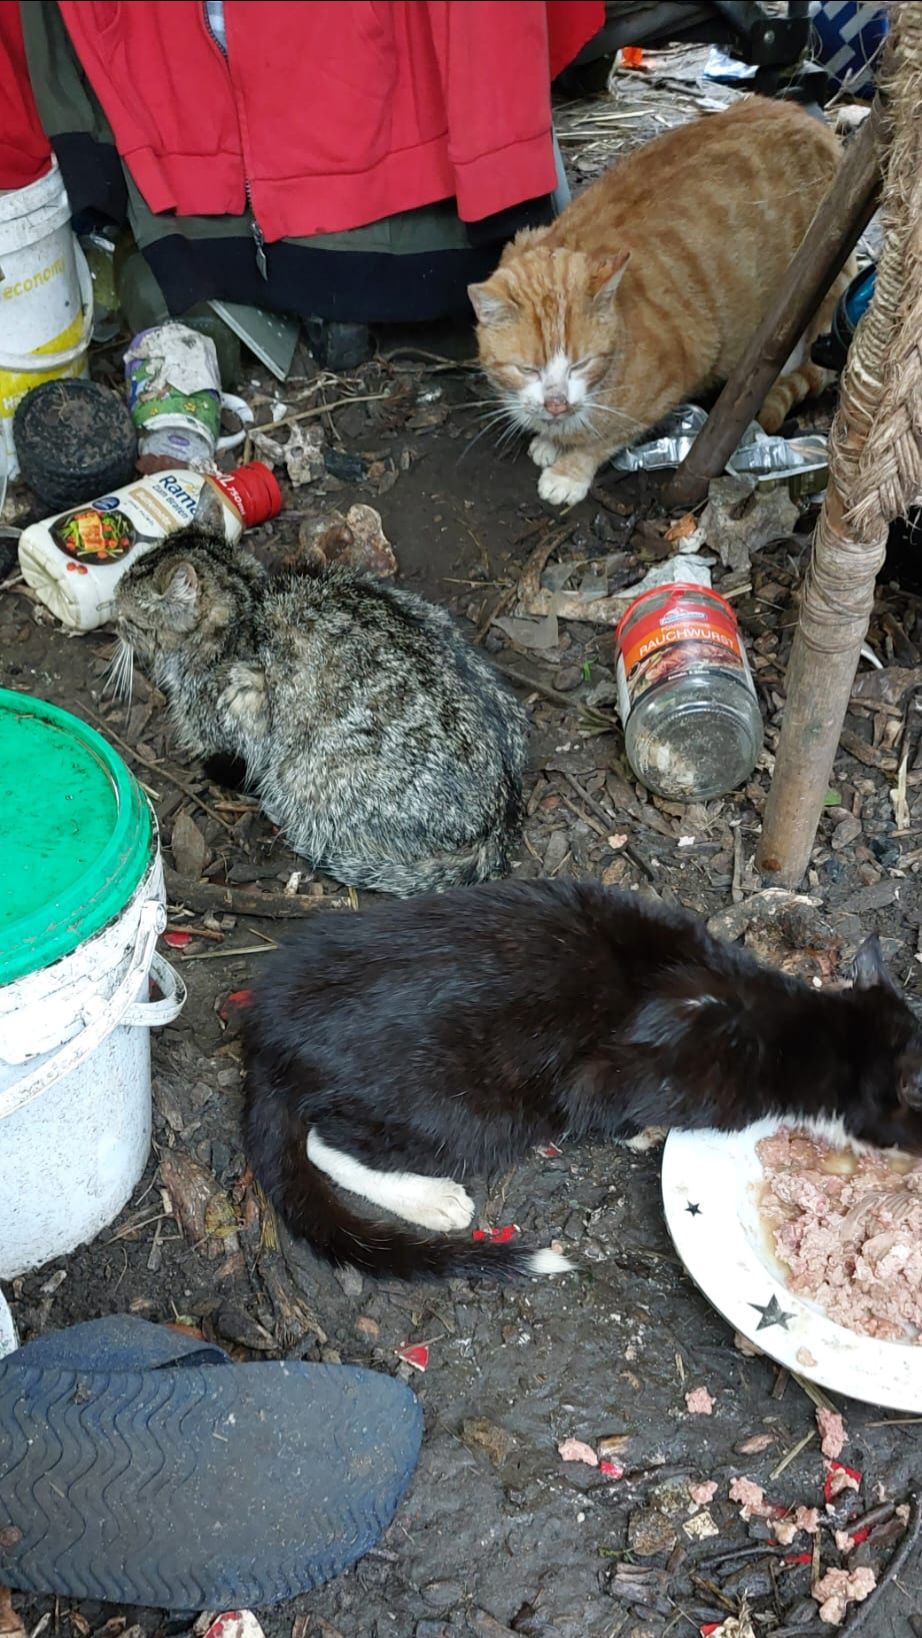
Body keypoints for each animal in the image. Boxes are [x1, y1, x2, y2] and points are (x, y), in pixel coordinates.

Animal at [114, 488, 528, 897]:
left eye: (127, 617)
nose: (112, 615)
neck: (245, 606)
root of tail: (499, 821)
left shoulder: (244, 691)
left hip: (308, 776)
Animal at [242, 877, 922, 1282]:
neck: (799, 1029)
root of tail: (265, 1040)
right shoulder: (613, 1077)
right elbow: (609, 1108)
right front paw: (641, 1134)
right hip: (477, 1111)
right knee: (324, 1142)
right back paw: (433, 1199)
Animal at [469, 98, 854, 507]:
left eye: (581, 364)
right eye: (527, 370)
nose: (555, 404)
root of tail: (816, 126)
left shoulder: (674, 376)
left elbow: (605, 438)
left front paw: (568, 469)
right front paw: (550, 439)